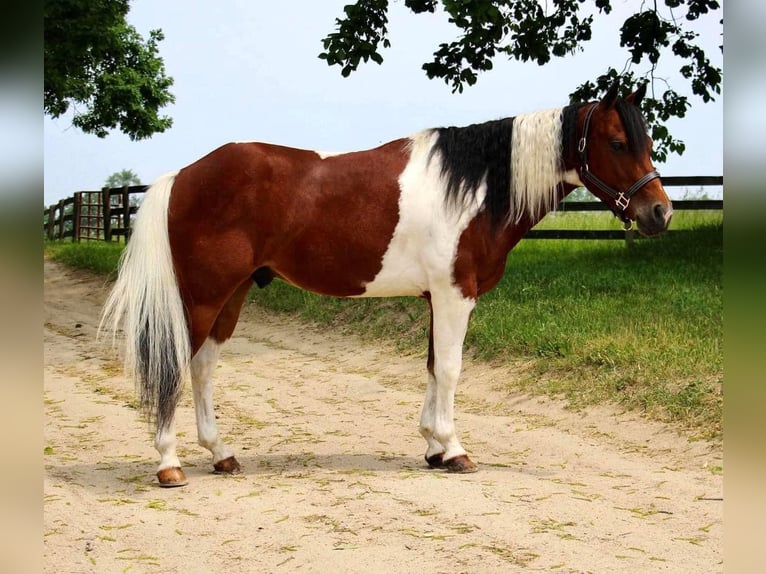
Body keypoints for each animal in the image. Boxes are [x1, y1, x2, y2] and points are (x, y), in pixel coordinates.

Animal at [100, 79, 672, 488]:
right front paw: (455, 449)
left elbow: (432, 367)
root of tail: (183, 175)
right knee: (177, 364)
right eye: (618, 142)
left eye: (647, 141)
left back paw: (221, 455)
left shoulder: (436, 298)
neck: (476, 187)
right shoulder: (455, 296)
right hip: (202, 297)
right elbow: (451, 369)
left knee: (203, 367)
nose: (660, 214)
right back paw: (169, 465)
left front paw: (433, 448)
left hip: (232, 296)